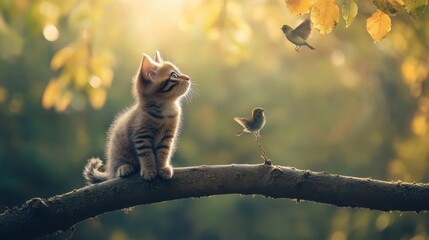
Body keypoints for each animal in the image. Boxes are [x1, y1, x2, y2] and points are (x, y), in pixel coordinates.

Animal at [83, 51, 190, 185]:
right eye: (174, 75)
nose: (188, 77)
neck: (165, 108)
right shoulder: (141, 136)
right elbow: (147, 154)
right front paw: (149, 170)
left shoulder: (167, 137)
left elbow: (164, 152)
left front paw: (163, 168)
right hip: (117, 151)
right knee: (116, 169)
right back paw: (123, 168)